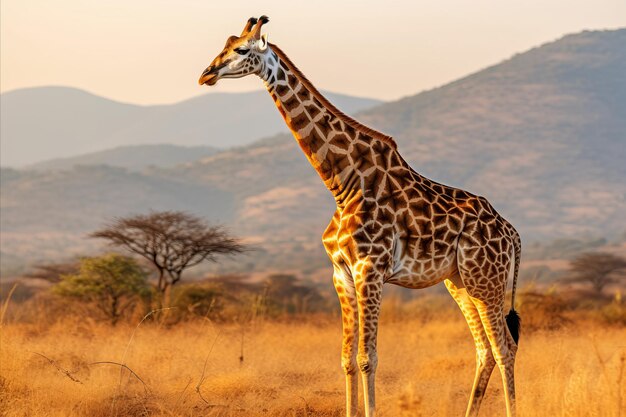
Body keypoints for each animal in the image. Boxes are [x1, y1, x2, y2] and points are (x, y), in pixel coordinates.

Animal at [197, 16, 520, 416]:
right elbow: (347, 359)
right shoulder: (341, 273)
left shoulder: (371, 269)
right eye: (224, 43)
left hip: (485, 279)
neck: (343, 183)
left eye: (241, 49)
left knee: (504, 347)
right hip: (459, 281)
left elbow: (368, 358)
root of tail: (512, 232)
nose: (206, 74)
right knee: (484, 349)